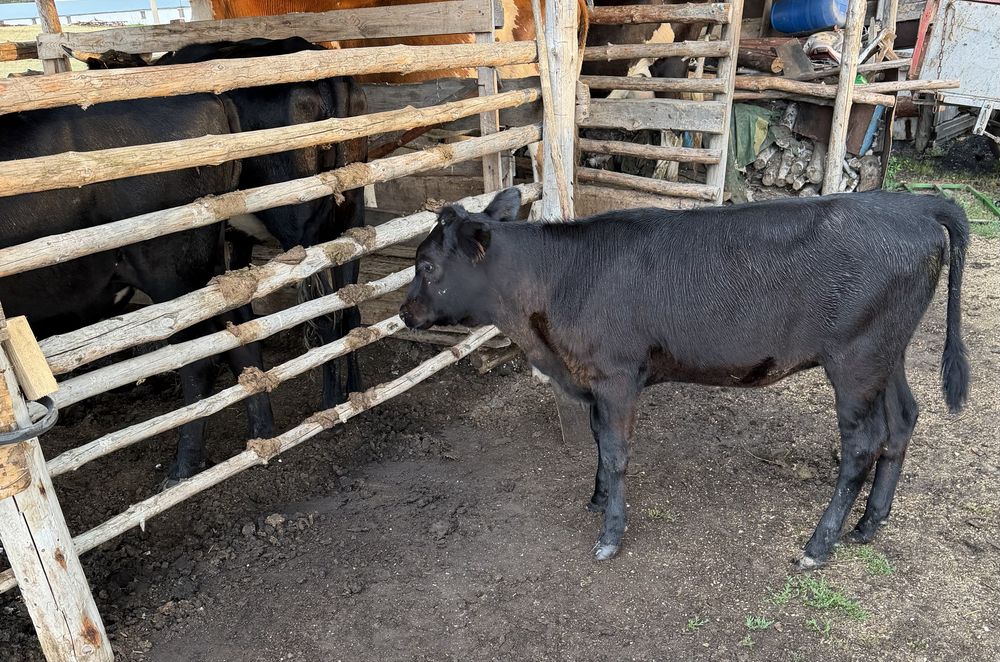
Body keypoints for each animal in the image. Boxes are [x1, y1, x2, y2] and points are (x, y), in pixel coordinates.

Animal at [0, 95, 275, 485]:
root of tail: (210, 97)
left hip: (171, 272)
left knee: (200, 359)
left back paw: (184, 468)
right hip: (205, 268)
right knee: (241, 333)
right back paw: (262, 437)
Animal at [73, 37, 370, 412]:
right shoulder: (237, 238)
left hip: (299, 231)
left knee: (325, 317)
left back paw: (331, 400)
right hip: (352, 214)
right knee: (351, 306)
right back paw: (356, 389)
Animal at [399, 188, 970, 566]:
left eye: (426, 266)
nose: (404, 314)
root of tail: (912, 204)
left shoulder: (616, 375)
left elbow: (617, 452)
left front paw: (611, 534)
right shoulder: (595, 381)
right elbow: (599, 441)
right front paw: (597, 498)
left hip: (856, 359)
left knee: (863, 444)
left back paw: (818, 544)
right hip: (887, 355)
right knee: (903, 421)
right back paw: (869, 524)